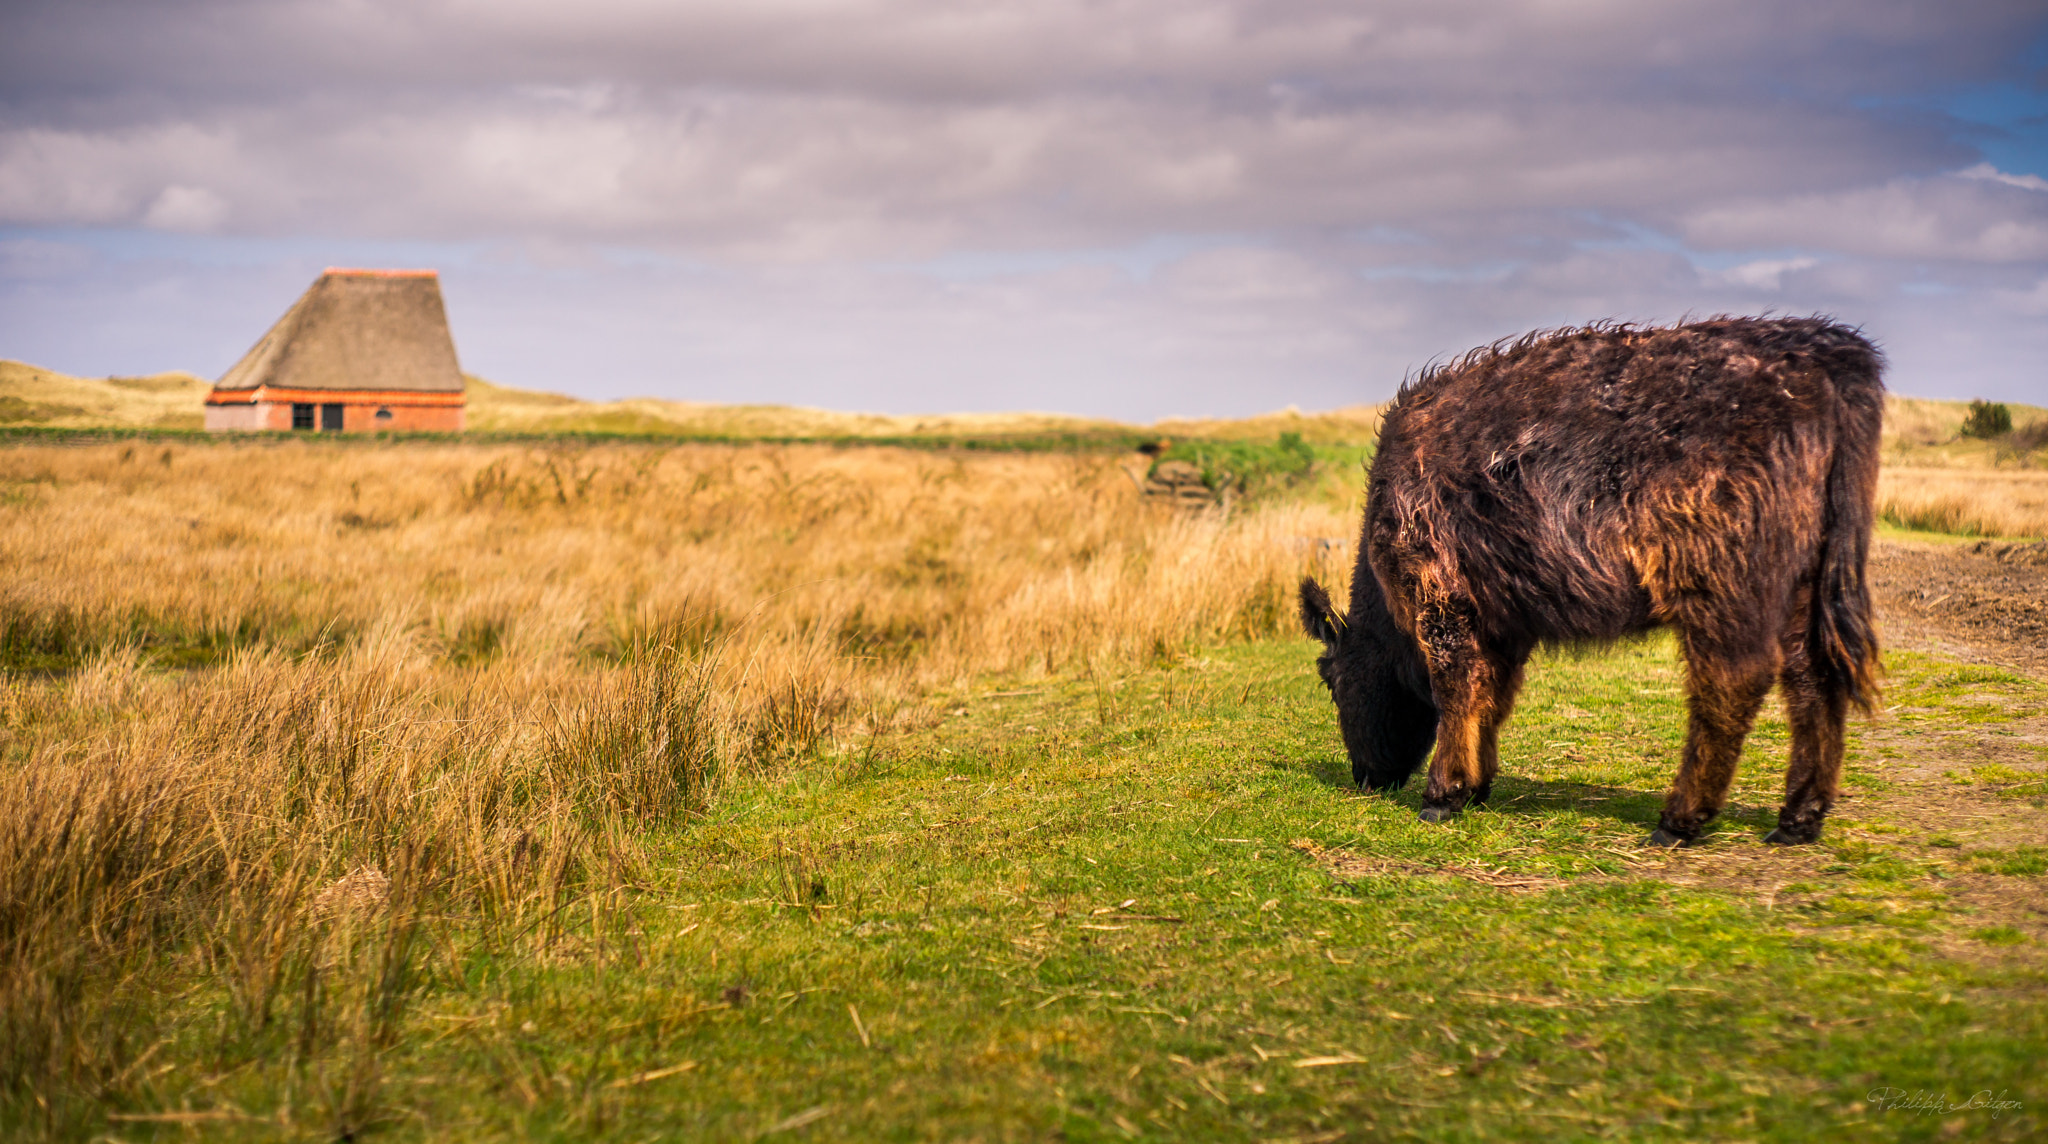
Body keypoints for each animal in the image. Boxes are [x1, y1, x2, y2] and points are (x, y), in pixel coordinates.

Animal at [1302, 317, 1875, 847]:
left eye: (1332, 681)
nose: (1366, 777)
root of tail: (1822, 351)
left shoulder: (1442, 599)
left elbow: (1457, 688)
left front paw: (1443, 795)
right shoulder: (1503, 625)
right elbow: (1492, 697)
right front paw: (1478, 786)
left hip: (1723, 588)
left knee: (1731, 685)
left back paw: (1679, 820)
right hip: (1805, 590)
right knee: (1814, 681)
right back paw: (1797, 820)